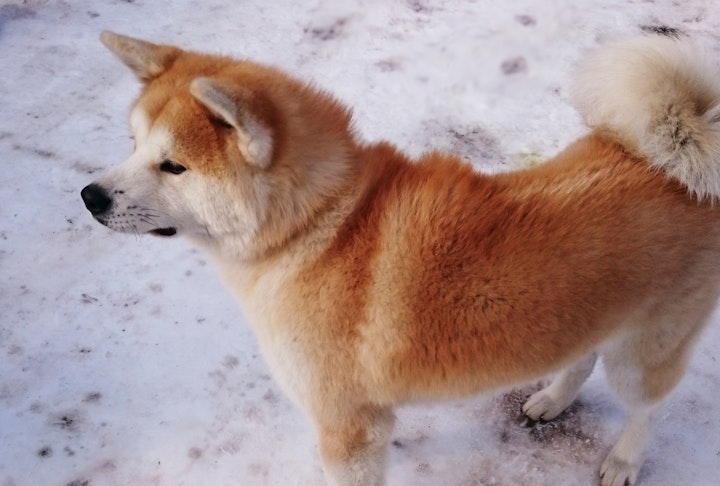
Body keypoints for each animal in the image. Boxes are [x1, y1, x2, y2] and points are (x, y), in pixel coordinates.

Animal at [81, 31, 720, 486]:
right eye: (133, 144)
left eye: (174, 166)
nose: (90, 196)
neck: (317, 227)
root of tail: (682, 158)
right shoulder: (367, 420)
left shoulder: (346, 426)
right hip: (587, 316)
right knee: (581, 357)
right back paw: (552, 399)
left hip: (643, 353)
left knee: (648, 407)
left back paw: (625, 460)